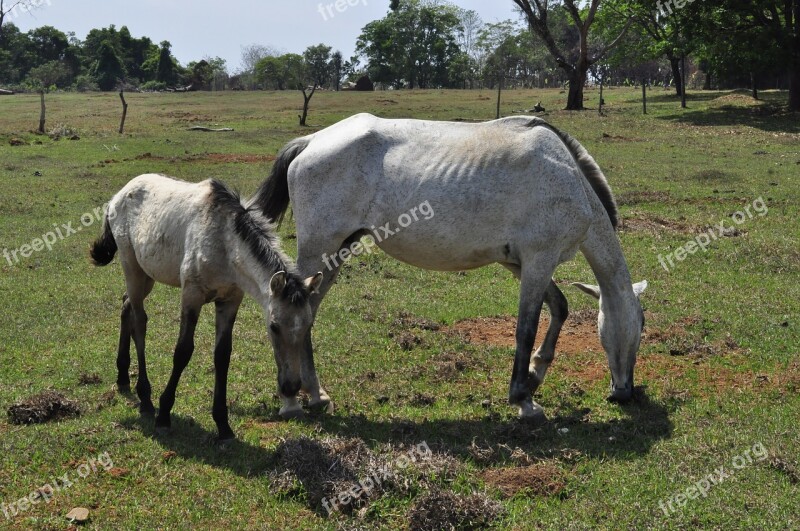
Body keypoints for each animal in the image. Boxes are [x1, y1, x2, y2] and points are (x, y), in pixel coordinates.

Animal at [94, 176, 328, 440]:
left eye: (308, 325)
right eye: (274, 327)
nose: (291, 386)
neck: (224, 243)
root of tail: (118, 196)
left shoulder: (230, 301)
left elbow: (222, 356)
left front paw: (223, 425)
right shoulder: (191, 296)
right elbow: (183, 351)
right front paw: (164, 415)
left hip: (147, 274)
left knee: (126, 307)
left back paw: (123, 377)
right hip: (131, 267)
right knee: (139, 322)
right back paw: (145, 399)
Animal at [256, 115, 648, 424]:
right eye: (641, 327)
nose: (625, 392)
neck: (568, 178)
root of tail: (310, 143)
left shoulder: (520, 263)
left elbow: (559, 307)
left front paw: (535, 374)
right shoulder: (540, 260)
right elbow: (526, 328)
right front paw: (524, 399)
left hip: (337, 252)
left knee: (309, 313)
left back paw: (316, 394)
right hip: (319, 251)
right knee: (293, 315)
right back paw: (295, 396)